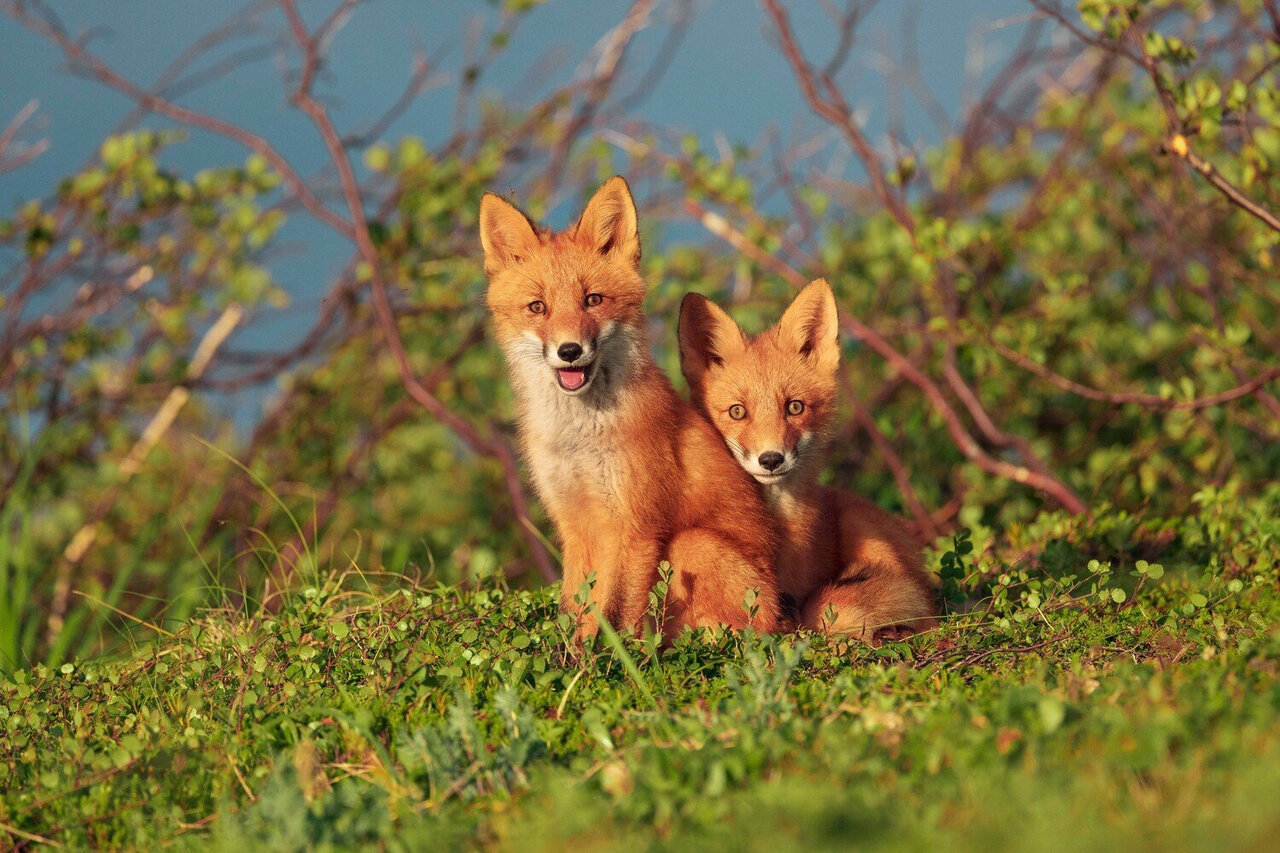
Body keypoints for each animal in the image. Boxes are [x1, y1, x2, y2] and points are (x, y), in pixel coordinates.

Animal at [478, 174, 778, 637]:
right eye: (537, 307)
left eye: (593, 300)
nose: (569, 351)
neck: (580, 440)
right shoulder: (572, 524)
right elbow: (575, 609)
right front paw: (570, 653)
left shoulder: (636, 527)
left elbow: (617, 615)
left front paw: (611, 654)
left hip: (693, 544)